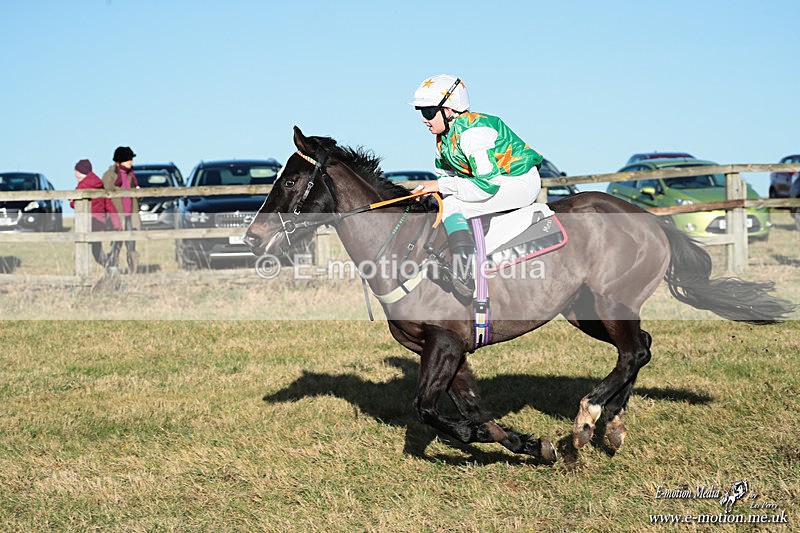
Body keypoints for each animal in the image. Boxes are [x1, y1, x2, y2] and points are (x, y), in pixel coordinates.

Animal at [244, 126, 794, 462]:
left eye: (289, 180)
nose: (252, 237)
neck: (401, 246)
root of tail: (648, 218)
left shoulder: (444, 344)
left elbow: (431, 411)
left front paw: (505, 440)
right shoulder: (447, 350)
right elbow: (473, 410)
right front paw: (525, 443)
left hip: (611, 303)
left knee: (633, 352)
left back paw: (587, 418)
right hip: (584, 311)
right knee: (641, 350)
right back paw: (612, 424)